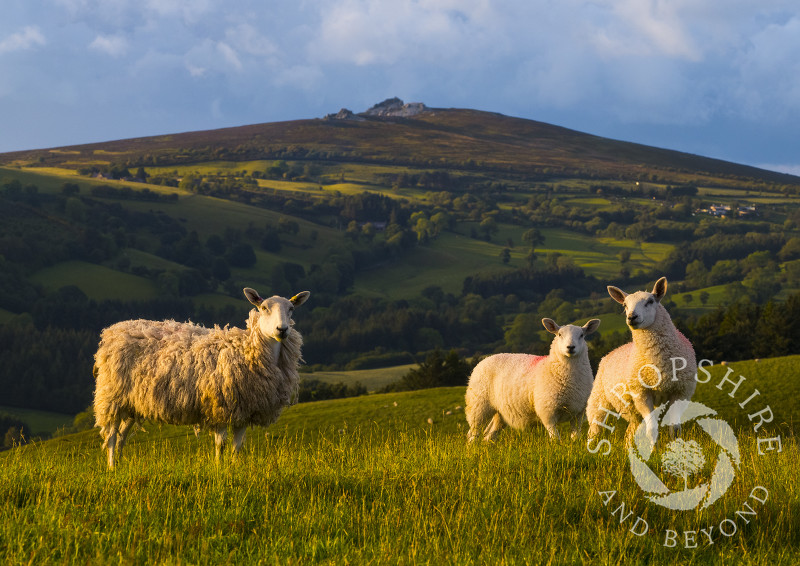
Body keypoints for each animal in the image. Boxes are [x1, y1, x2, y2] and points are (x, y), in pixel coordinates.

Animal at [91, 288, 310, 470]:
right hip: (112, 396)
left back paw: (119, 465)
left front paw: (234, 468)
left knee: (121, 436)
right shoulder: (219, 406)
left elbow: (237, 447)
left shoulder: (243, 411)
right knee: (111, 436)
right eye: (263, 308)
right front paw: (219, 469)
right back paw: (111, 468)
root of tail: (113, 331)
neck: (247, 349)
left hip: (132, 403)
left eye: (291, 309)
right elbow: (221, 445)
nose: (282, 329)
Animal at [462, 320, 600, 444]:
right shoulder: (547, 411)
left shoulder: (578, 413)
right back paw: (472, 448)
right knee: (474, 431)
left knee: (490, 433)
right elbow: (555, 438)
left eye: (581, 335)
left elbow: (576, 437)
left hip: (501, 412)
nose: (570, 347)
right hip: (478, 403)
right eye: (559, 334)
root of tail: (484, 359)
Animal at [584, 278, 696, 450]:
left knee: (630, 431)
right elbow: (652, 428)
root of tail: (612, 351)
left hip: (632, 410)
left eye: (650, 301)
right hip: (599, 398)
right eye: (625, 305)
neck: (658, 364)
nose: (632, 317)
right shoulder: (641, 394)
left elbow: (675, 429)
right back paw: (590, 448)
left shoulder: (681, 393)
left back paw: (627, 449)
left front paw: (675, 449)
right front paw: (654, 451)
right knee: (595, 427)